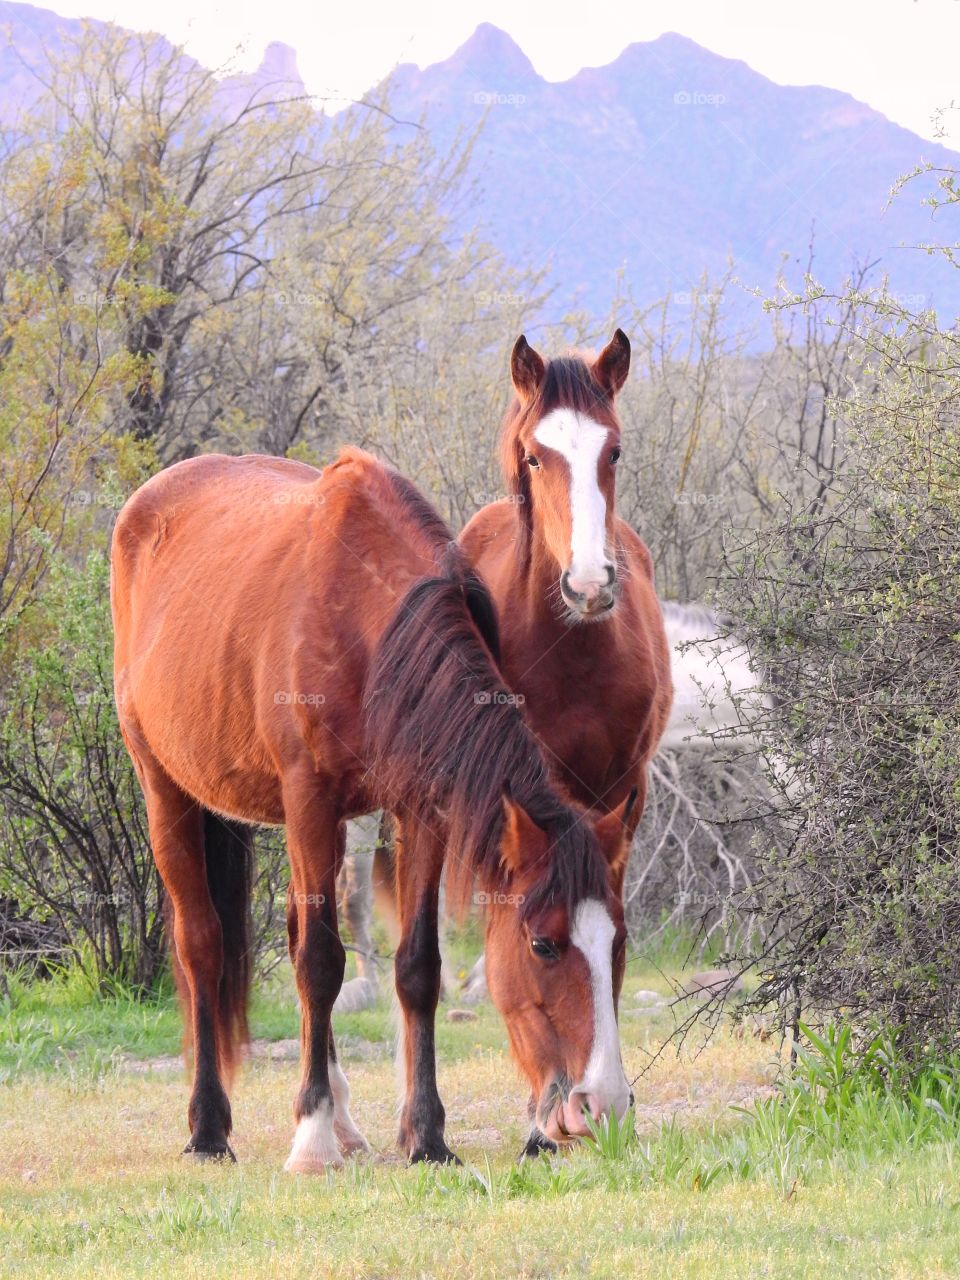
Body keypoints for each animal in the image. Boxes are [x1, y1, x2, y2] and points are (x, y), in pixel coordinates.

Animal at [110, 450, 640, 1172]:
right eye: (544, 945)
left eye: (618, 941)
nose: (604, 1104)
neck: (373, 619)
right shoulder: (309, 799)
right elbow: (320, 962)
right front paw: (310, 1141)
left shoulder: (422, 807)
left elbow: (417, 967)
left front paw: (427, 1136)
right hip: (165, 788)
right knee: (203, 947)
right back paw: (211, 1128)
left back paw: (343, 1119)